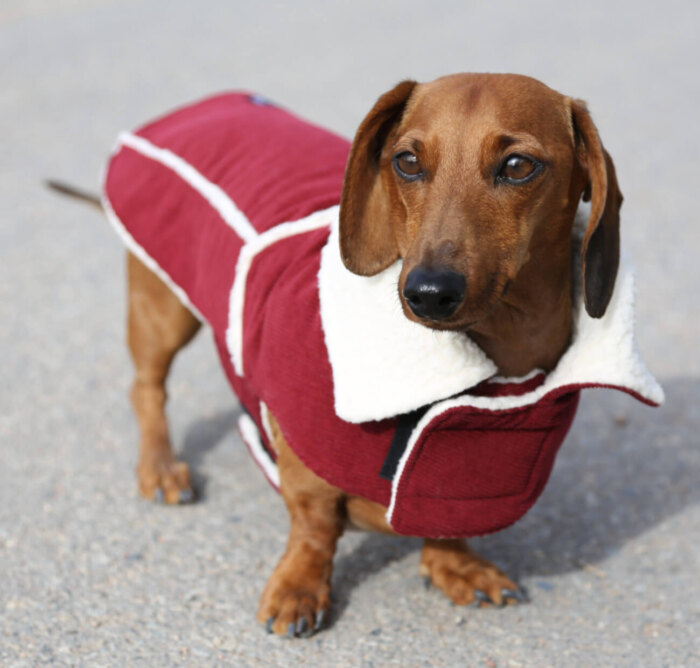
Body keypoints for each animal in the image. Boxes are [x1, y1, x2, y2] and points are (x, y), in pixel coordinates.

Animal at [49, 73, 620, 636]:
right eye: (406, 161)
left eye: (518, 166)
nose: (427, 293)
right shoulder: (299, 451)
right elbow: (315, 523)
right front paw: (299, 587)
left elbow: (443, 522)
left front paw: (455, 564)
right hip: (162, 308)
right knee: (146, 389)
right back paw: (161, 468)